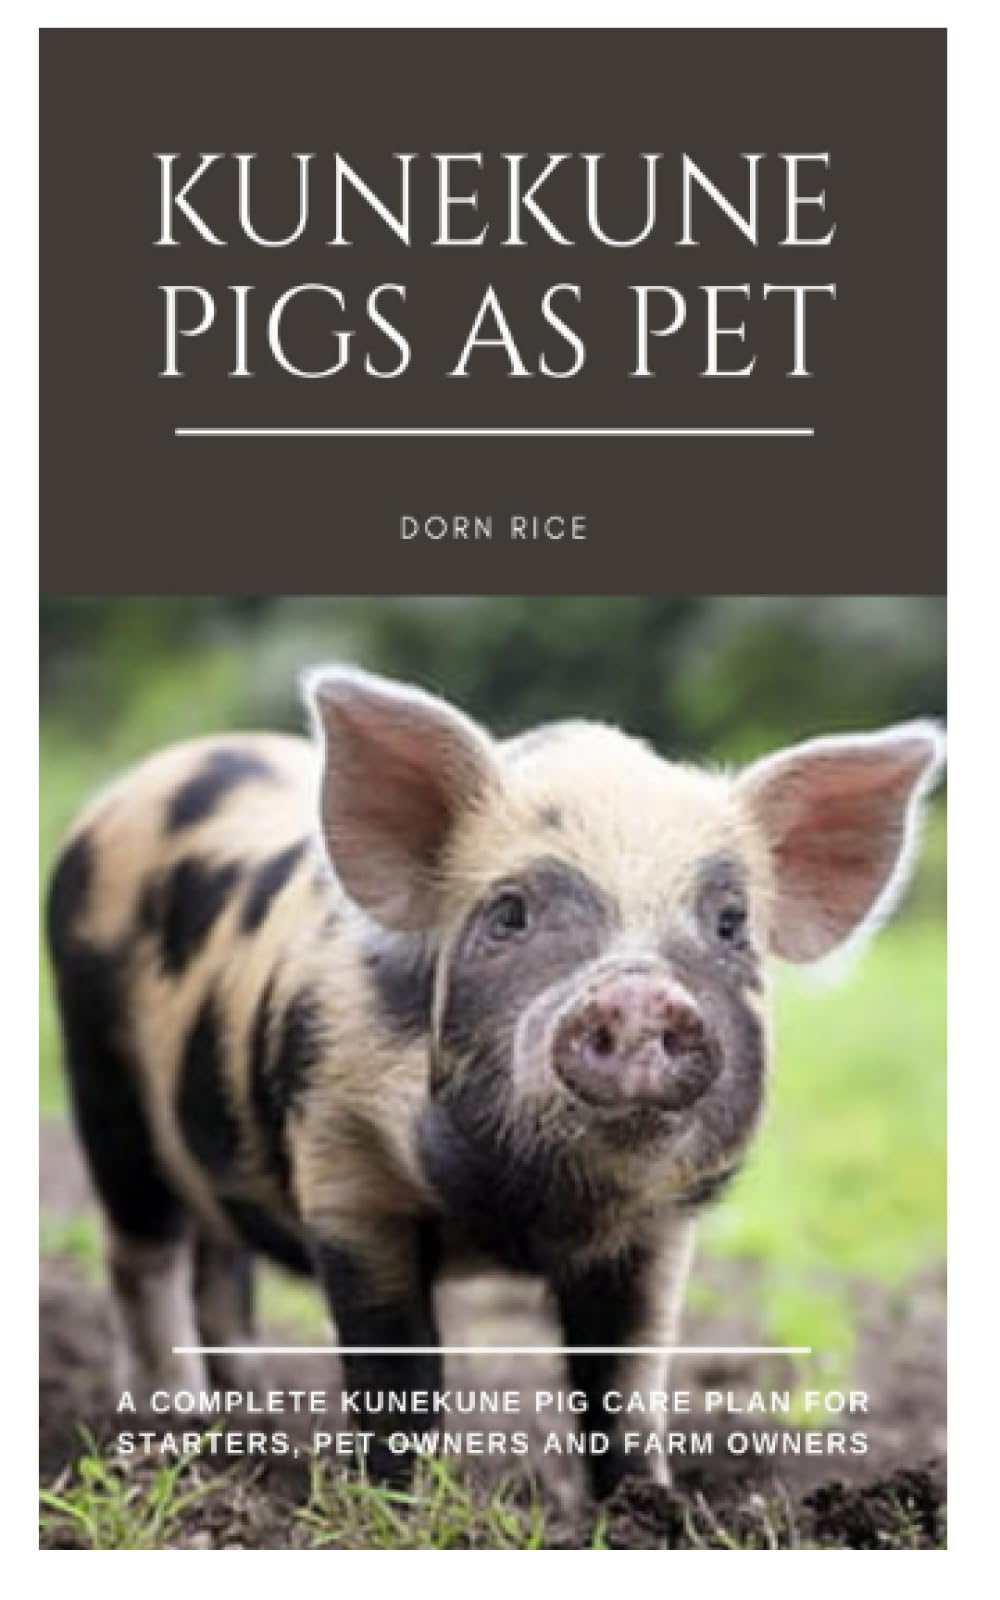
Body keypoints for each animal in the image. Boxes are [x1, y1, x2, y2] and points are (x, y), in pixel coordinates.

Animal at [45, 667, 944, 1495]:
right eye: (509, 912)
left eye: (731, 925)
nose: (637, 991)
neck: (526, 1209)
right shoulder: (345, 1166)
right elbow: (396, 1366)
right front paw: (397, 1502)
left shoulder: (658, 1227)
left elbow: (626, 1375)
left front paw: (646, 1506)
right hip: (102, 1080)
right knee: (143, 1256)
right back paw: (174, 1429)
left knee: (220, 1261)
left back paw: (248, 1419)